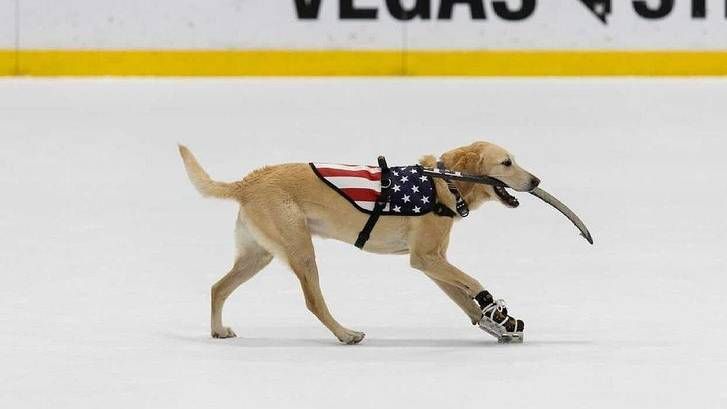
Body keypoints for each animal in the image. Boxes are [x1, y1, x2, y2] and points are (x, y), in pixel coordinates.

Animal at [177, 142, 540, 342]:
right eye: (507, 162)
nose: (537, 180)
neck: (444, 183)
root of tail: (249, 181)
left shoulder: (433, 262)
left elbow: (463, 298)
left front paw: (498, 323)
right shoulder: (425, 259)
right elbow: (473, 282)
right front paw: (492, 305)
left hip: (257, 256)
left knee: (218, 288)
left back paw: (218, 330)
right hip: (302, 253)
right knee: (314, 302)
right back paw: (345, 334)